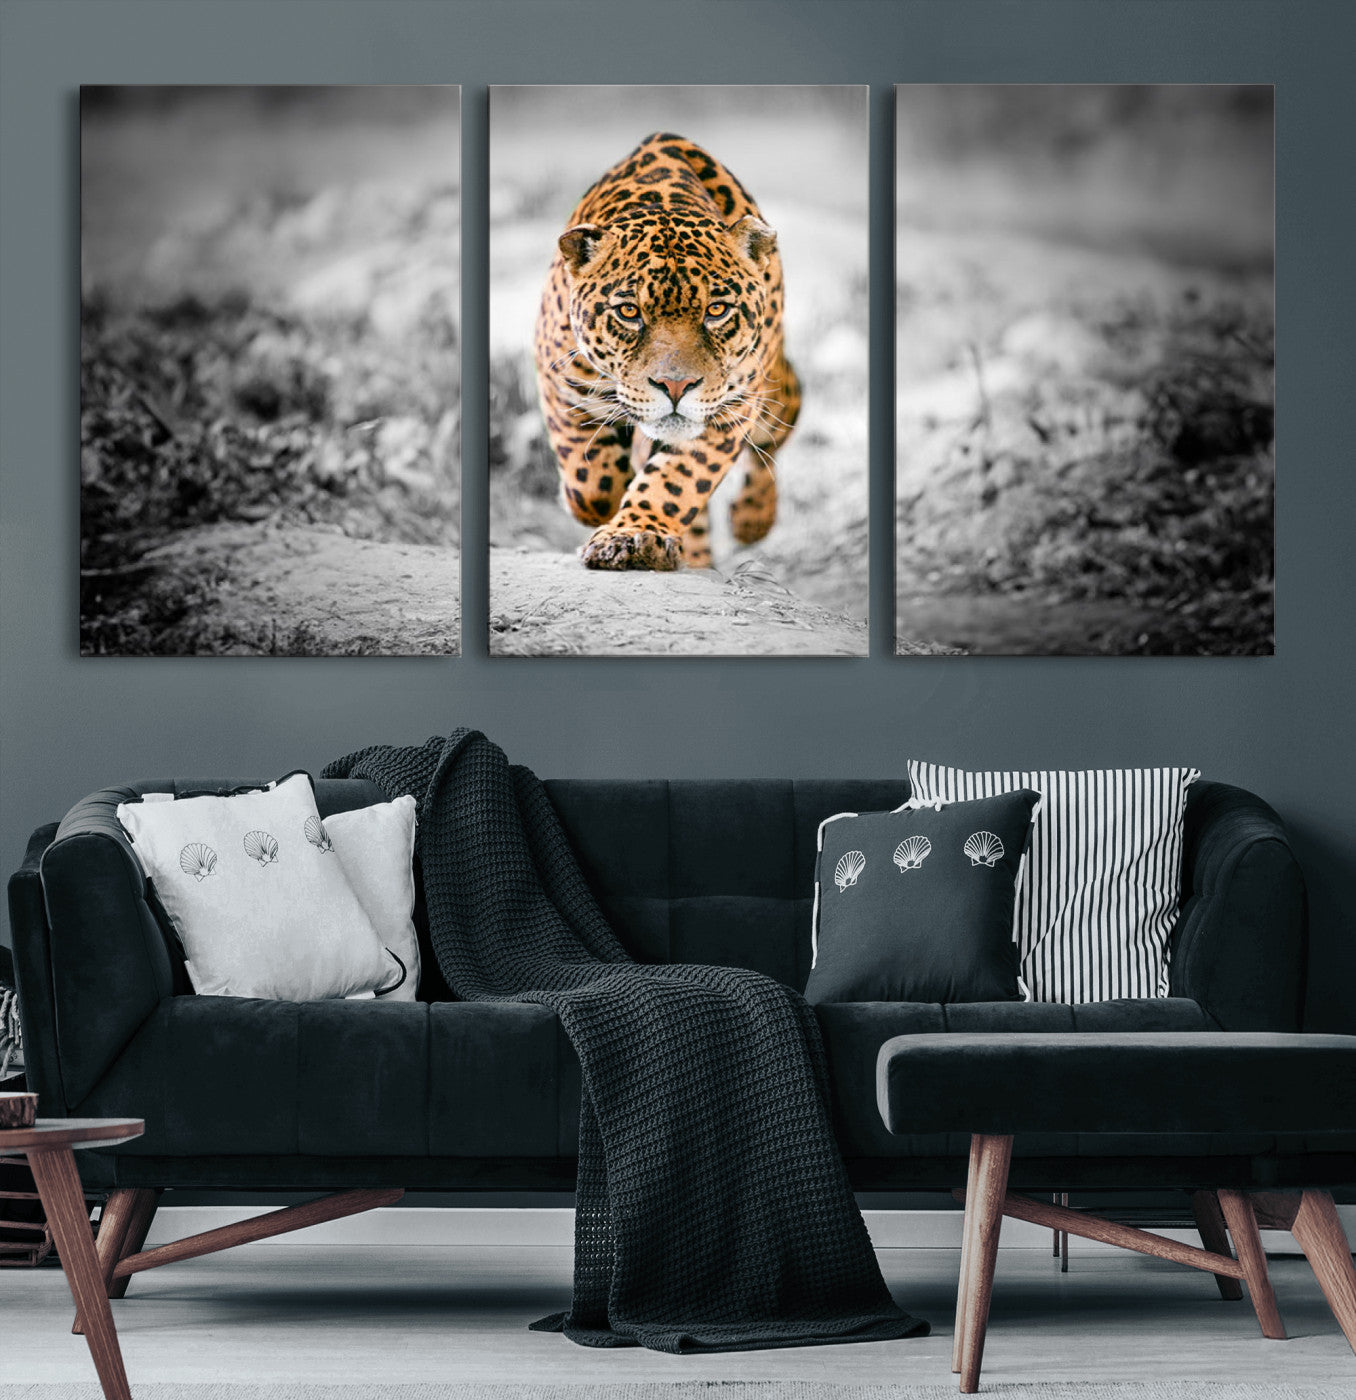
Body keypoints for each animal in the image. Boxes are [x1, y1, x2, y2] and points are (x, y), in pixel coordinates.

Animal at [533, 132, 801, 570]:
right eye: (629, 312)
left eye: (716, 310)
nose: (676, 387)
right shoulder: (562, 382)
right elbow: (591, 483)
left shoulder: (731, 408)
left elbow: (678, 480)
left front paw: (633, 535)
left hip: (772, 393)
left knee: (774, 435)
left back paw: (752, 519)